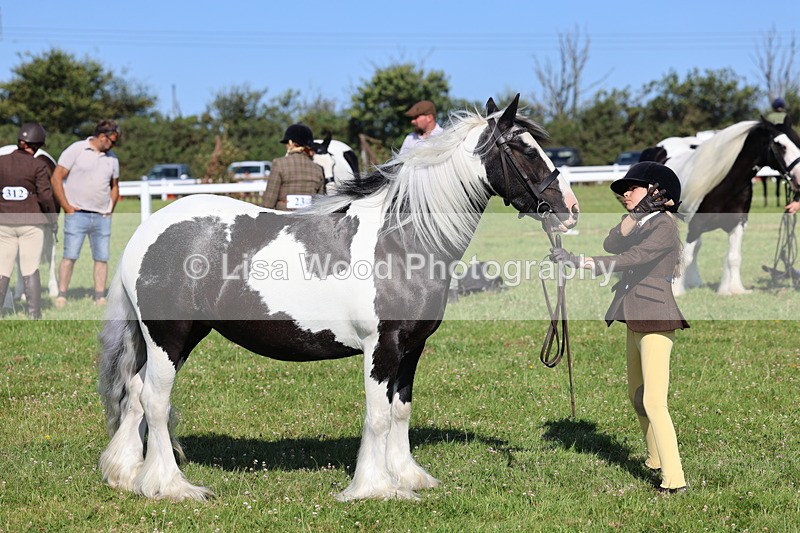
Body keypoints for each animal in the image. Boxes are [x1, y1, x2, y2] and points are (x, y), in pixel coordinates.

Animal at [96, 94, 579, 502]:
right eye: (524, 151)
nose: (570, 210)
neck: (401, 242)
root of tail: (147, 231)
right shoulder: (381, 348)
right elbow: (378, 415)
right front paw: (375, 487)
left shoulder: (412, 348)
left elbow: (401, 411)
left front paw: (409, 477)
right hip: (169, 337)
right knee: (156, 401)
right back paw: (171, 486)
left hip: (181, 337)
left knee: (136, 392)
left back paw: (127, 475)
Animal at [642, 117, 800, 295]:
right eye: (781, 145)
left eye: (797, 141)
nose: (799, 178)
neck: (724, 185)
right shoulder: (696, 225)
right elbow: (686, 257)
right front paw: (676, 290)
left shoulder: (738, 223)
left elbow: (734, 257)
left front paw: (734, 289)